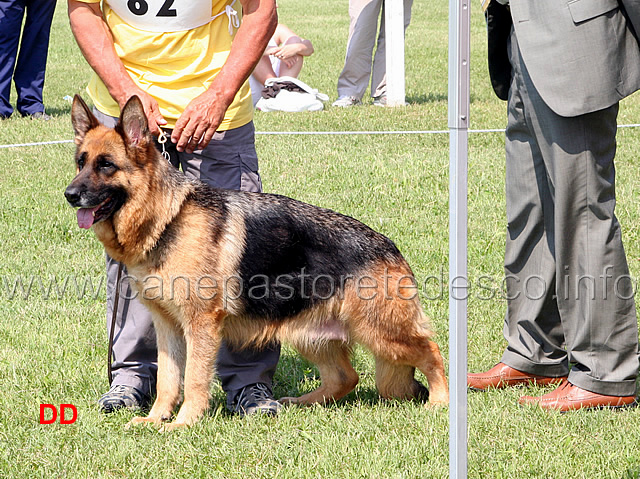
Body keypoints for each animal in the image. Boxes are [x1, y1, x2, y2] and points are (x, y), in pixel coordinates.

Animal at [63, 94, 444, 432]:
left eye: (106, 165)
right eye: (81, 162)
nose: (69, 195)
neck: (168, 218)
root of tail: (389, 246)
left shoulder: (201, 325)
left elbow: (195, 378)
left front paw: (184, 423)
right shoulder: (167, 326)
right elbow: (169, 379)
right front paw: (156, 419)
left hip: (380, 332)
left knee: (431, 351)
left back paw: (440, 402)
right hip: (312, 333)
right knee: (346, 377)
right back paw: (301, 403)